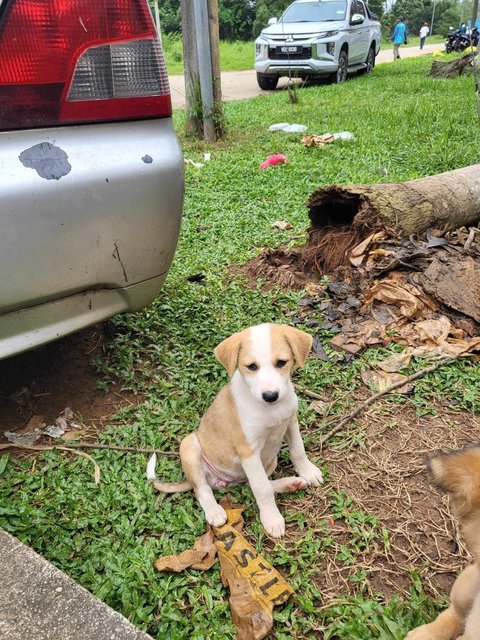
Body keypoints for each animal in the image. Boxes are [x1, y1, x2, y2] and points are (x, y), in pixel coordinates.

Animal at [146, 322, 324, 536]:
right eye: (252, 367)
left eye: (281, 362)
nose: (270, 395)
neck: (270, 410)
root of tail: (224, 481)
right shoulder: (248, 451)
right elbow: (261, 488)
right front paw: (272, 519)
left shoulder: (291, 423)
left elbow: (298, 451)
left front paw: (308, 472)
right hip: (190, 445)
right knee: (202, 489)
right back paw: (214, 511)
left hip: (268, 462)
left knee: (250, 485)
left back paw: (290, 483)